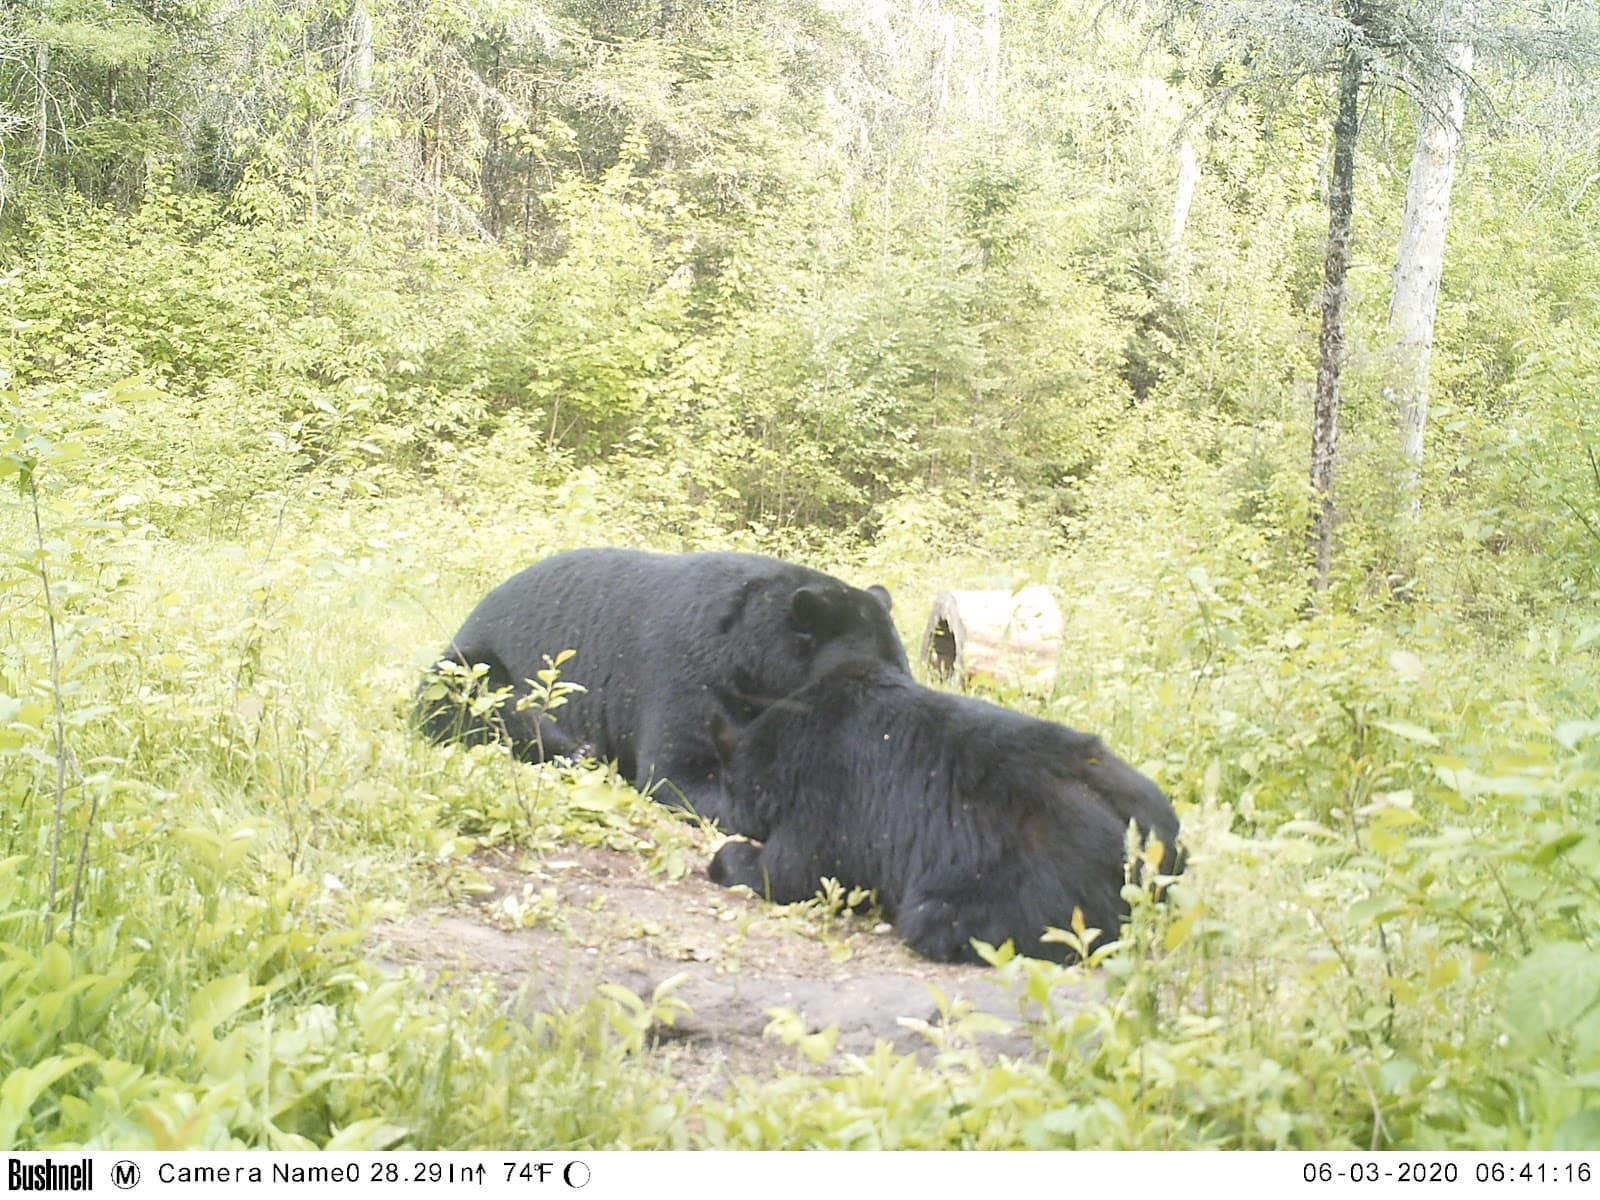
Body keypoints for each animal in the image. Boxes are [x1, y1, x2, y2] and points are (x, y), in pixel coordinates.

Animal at [415, 548, 909, 830]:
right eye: (871, 680)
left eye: (904, 668)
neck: (750, 655)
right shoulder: (687, 671)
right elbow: (679, 769)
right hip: (476, 663)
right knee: (472, 703)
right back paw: (574, 750)